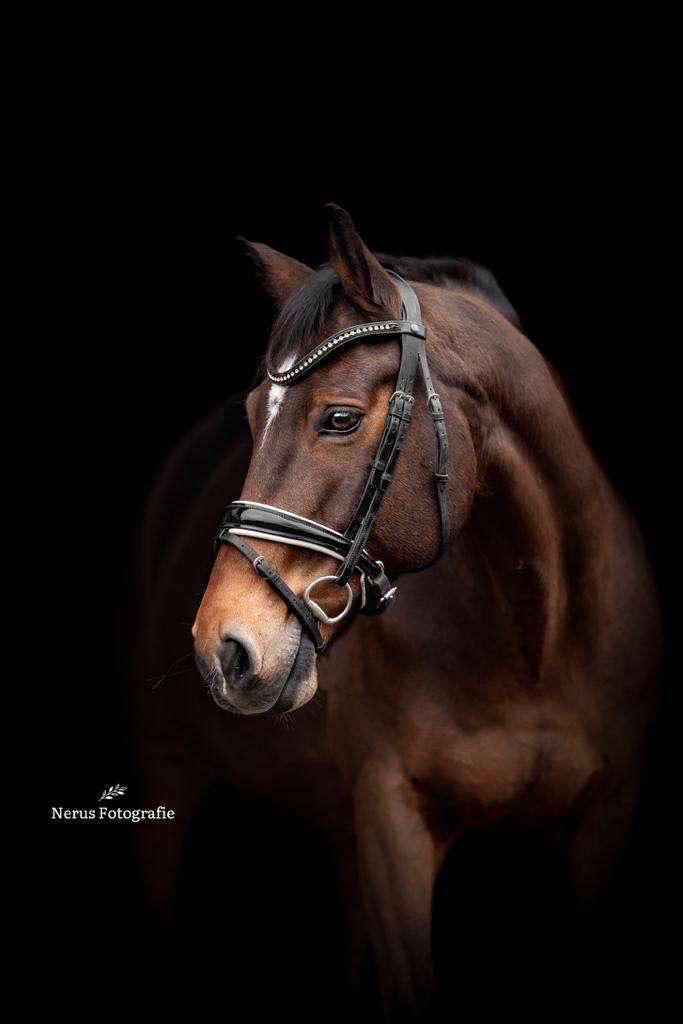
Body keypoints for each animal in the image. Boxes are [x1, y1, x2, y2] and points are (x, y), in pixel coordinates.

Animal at [134, 206, 661, 1021]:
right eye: (252, 414)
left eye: (341, 418)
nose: (222, 647)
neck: (535, 641)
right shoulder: (394, 823)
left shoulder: (604, 818)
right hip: (169, 770)